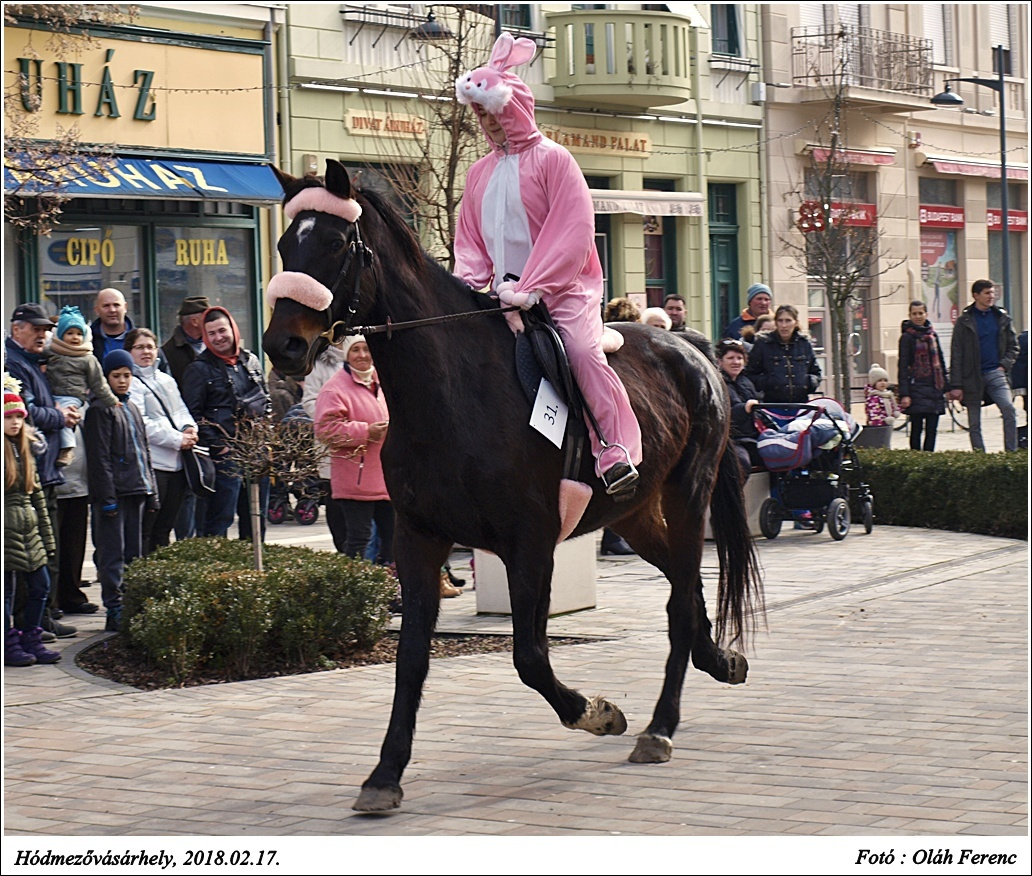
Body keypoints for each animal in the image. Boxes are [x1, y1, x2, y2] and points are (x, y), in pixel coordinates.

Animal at [262, 160, 763, 808]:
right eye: (283, 244)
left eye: (334, 243)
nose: (283, 345)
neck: (453, 395)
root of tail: (689, 345)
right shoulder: (417, 539)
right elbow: (411, 658)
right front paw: (385, 773)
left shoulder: (532, 543)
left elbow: (529, 656)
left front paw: (596, 711)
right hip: (634, 514)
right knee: (687, 592)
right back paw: (713, 666)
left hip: (686, 495)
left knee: (681, 599)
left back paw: (661, 725)